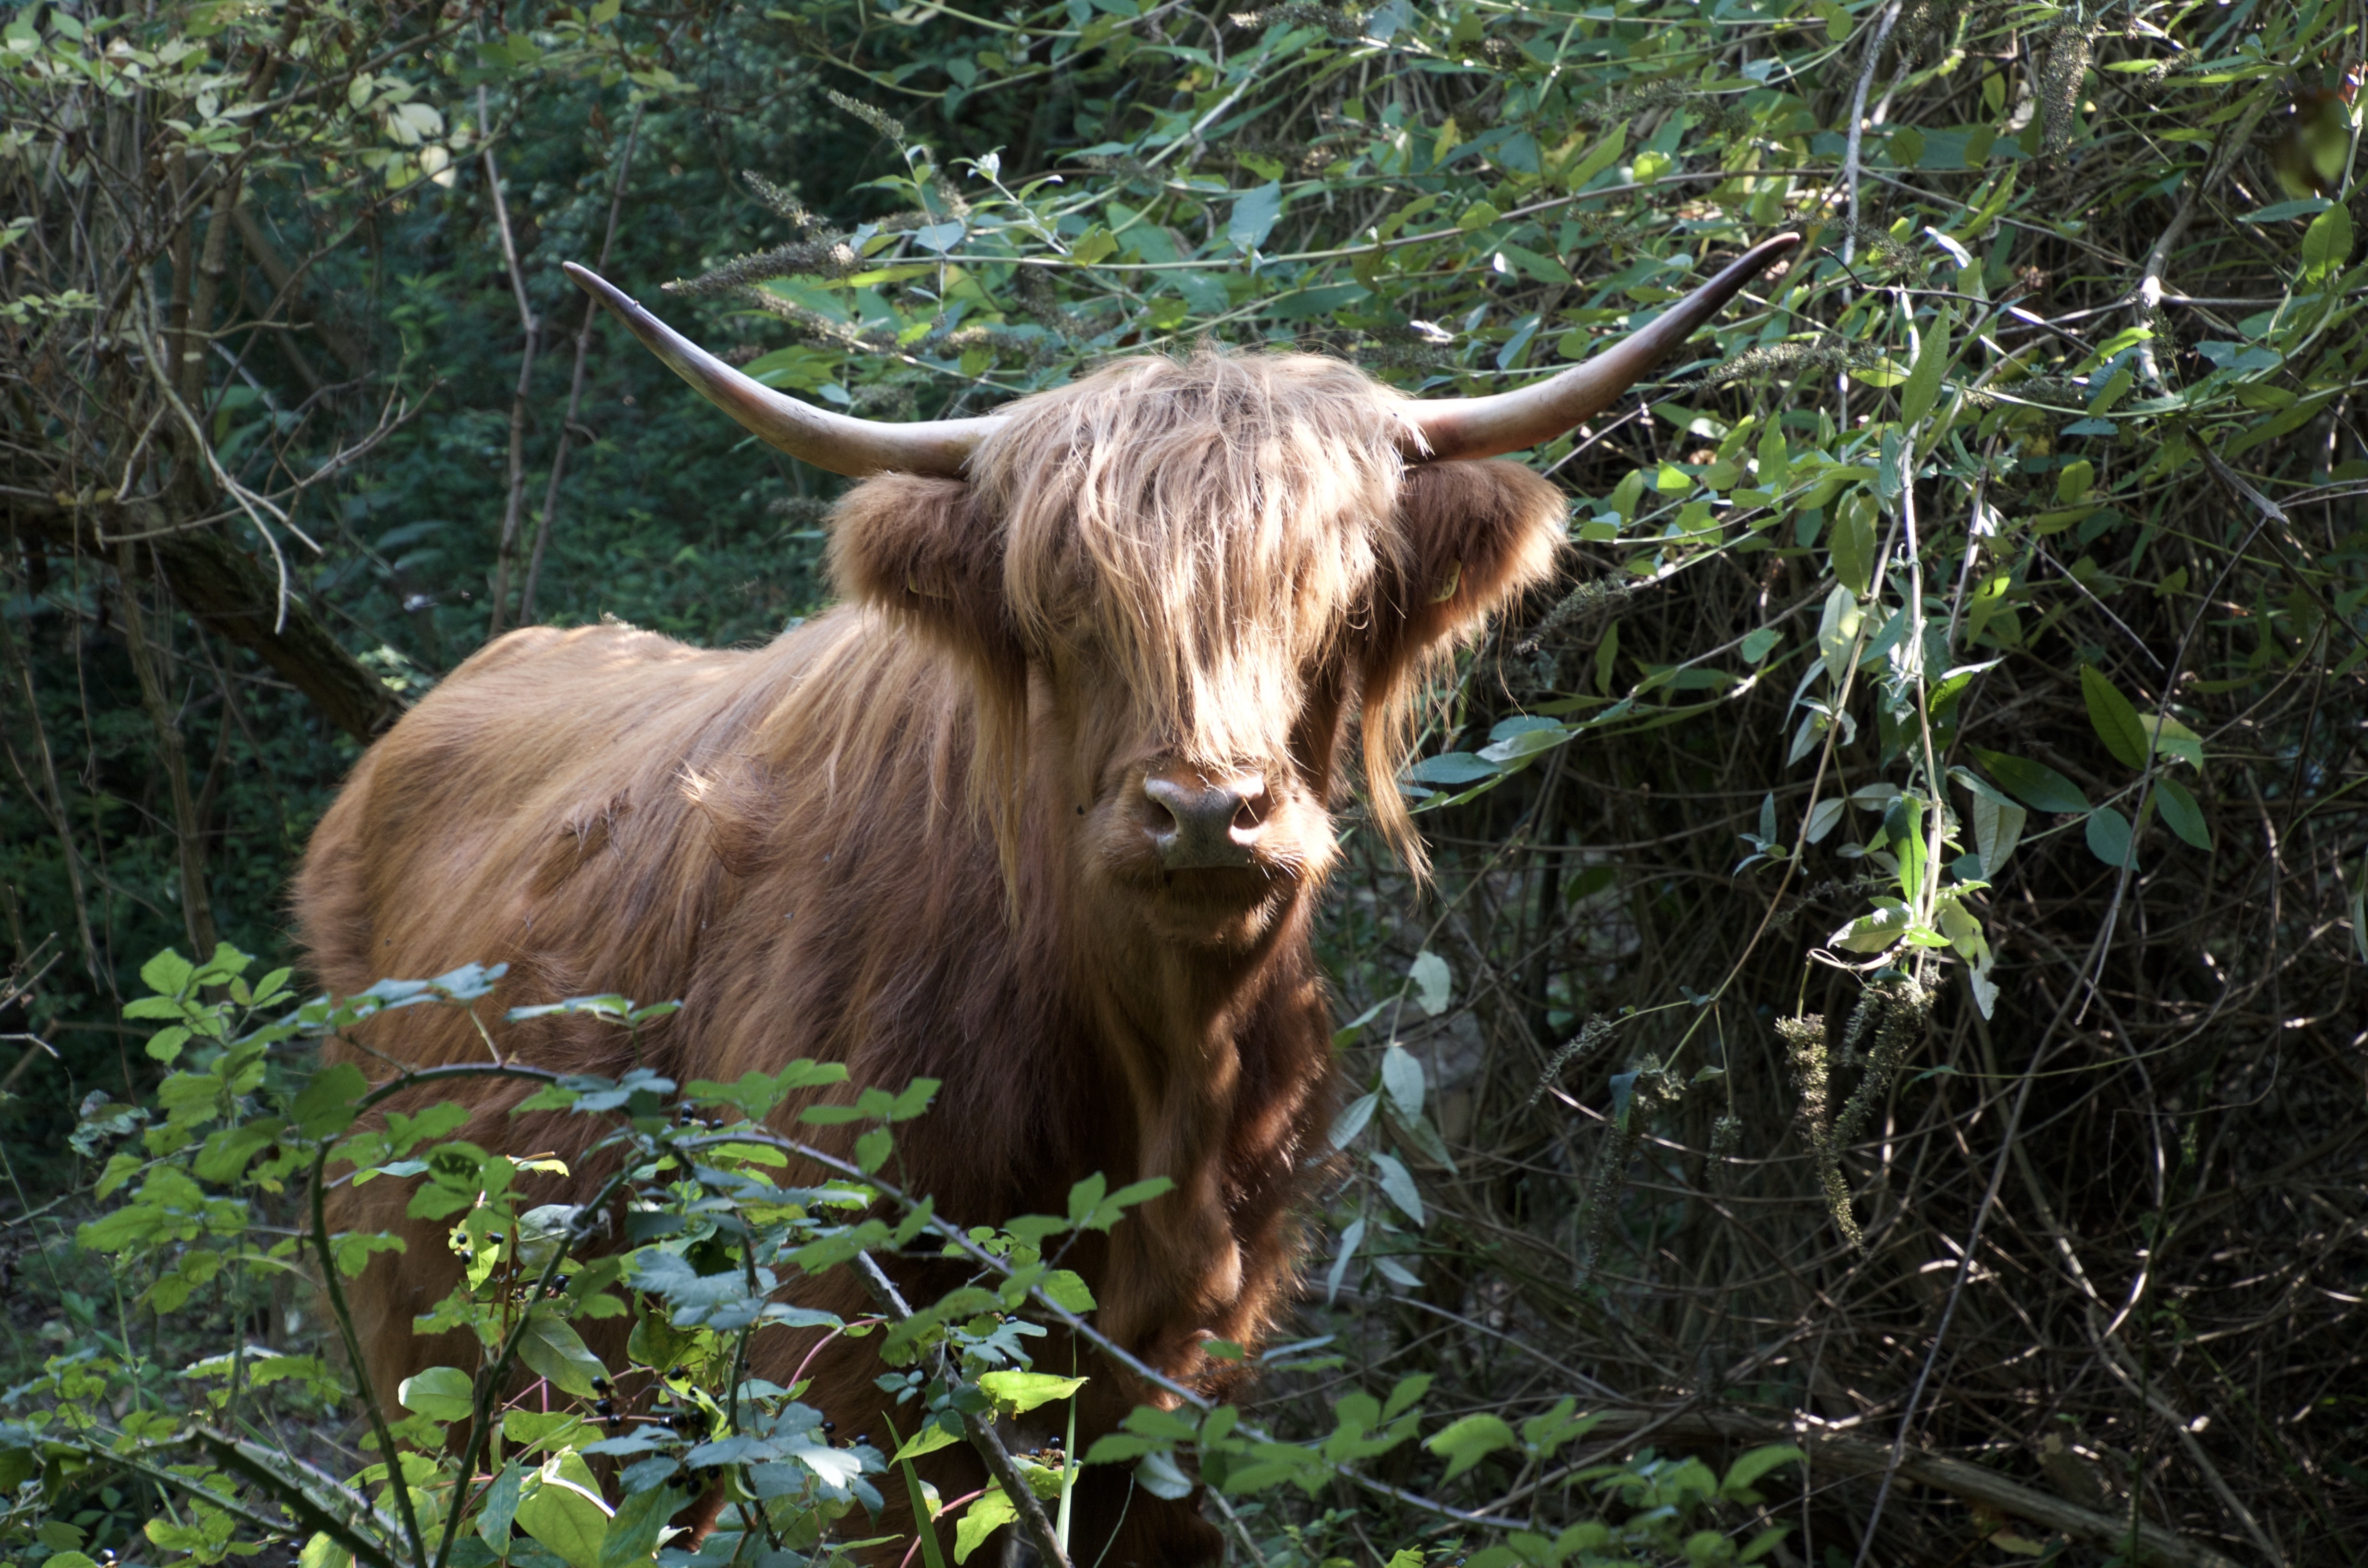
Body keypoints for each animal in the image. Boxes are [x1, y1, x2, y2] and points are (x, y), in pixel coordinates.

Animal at [294, 232, 1796, 1565]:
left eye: (1337, 602)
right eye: (1071, 611)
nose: (1208, 810)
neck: (1152, 1062)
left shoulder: (1185, 1368)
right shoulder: (847, 1341)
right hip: (434, 1326)